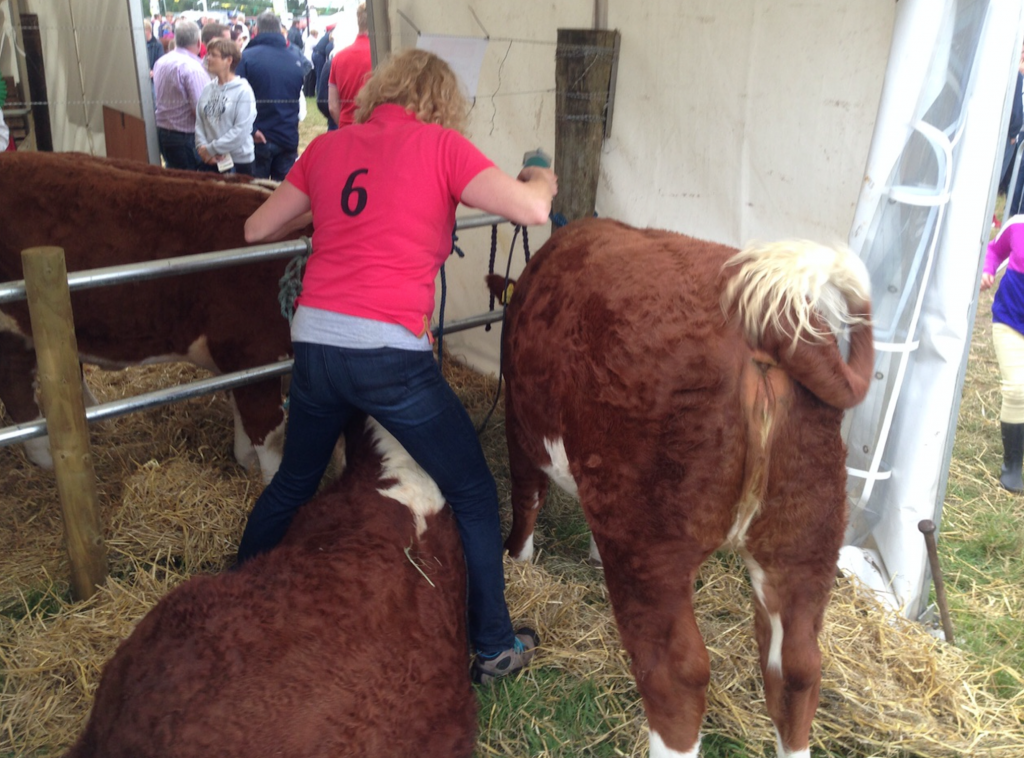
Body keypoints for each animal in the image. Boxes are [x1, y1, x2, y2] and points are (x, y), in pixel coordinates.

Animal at [0, 151, 309, 483]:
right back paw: (47, 457)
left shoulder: (239, 363)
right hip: (12, 330)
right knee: (17, 389)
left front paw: (245, 461)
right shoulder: (248, 350)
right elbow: (268, 433)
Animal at [489, 218, 874, 758]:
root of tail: (767, 326)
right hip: (806, 531)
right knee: (796, 668)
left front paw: (518, 560)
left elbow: (526, 500)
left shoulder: (521, 426)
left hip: (650, 540)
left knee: (676, 674)